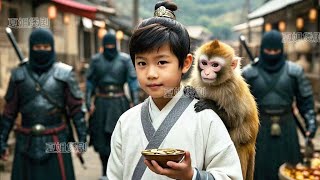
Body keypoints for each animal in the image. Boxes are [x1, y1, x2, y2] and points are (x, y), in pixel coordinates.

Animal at [186, 39, 258, 180]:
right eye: (204, 63)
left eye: (215, 65)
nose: (207, 72)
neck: (214, 85)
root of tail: (251, 144)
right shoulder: (197, 80)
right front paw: (191, 90)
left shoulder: (233, 89)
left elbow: (234, 121)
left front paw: (210, 104)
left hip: (242, 151)